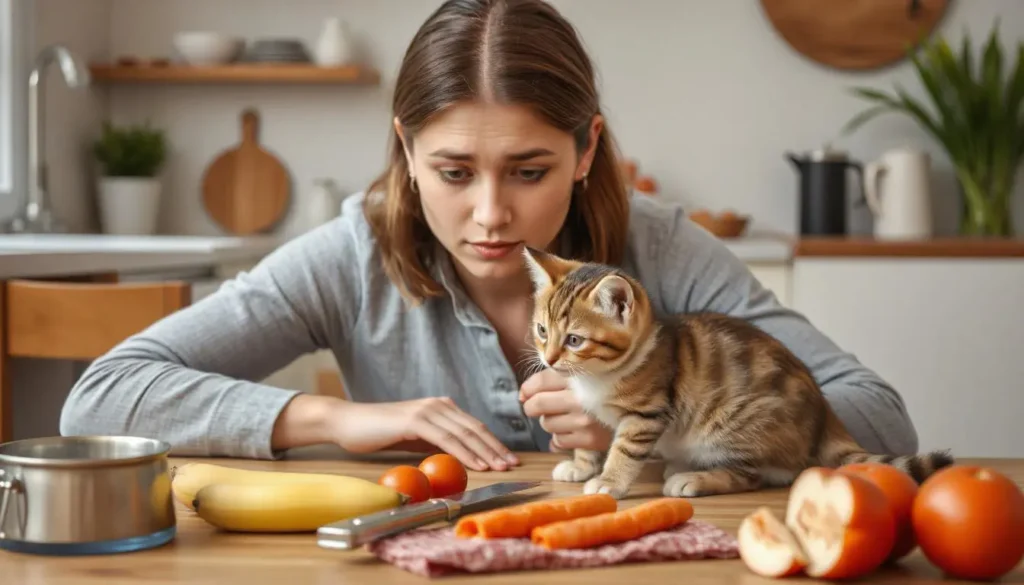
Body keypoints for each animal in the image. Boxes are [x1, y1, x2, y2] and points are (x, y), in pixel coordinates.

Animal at [524, 245, 954, 499]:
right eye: (542, 330)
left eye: (575, 340)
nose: (549, 359)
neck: (597, 376)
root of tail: (823, 419)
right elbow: (588, 441)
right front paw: (581, 464)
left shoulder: (647, 414)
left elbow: (625, 450)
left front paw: (609, 481)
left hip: (736, 421)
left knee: (757, 475)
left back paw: (694, 478)